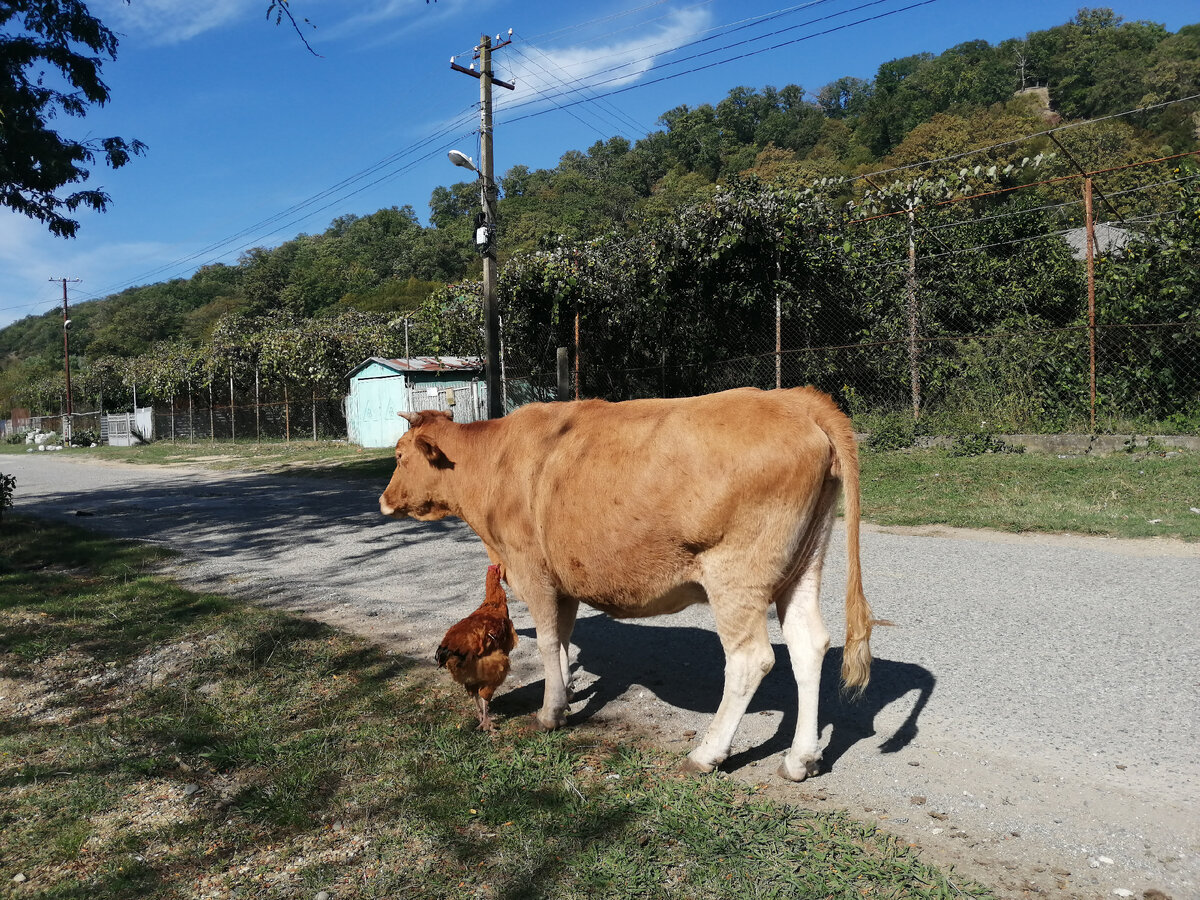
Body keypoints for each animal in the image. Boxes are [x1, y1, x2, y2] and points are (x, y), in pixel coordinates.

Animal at [379, 388, 878, 782]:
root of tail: (793, 398)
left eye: (399, 457)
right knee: (808, 645)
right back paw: (800, 760)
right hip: (802, 566)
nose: (383, 500)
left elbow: (547, 642)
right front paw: (568, 692)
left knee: (750, 659)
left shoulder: (533, 569)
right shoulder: (564, 578)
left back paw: (707, 754)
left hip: (737, 575)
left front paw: (550, 712)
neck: (493, 461)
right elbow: (563, 639)